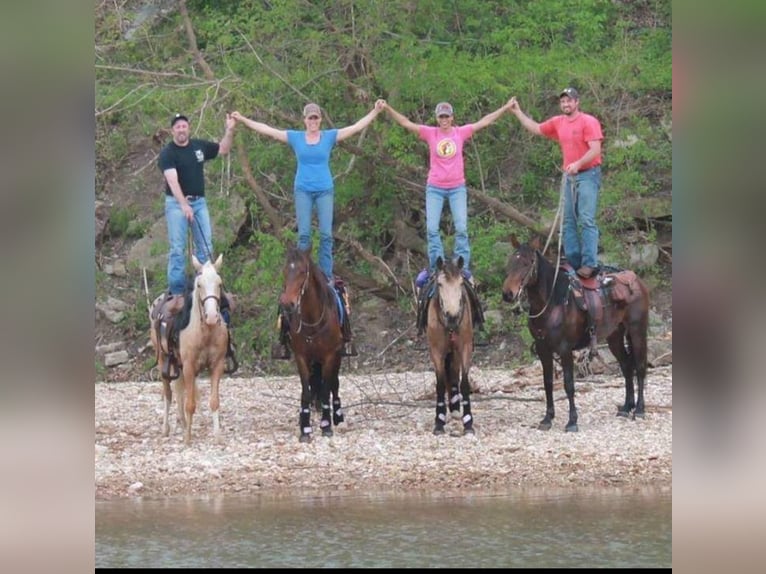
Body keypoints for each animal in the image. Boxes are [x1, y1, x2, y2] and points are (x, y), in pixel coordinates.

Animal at [148, 254, 228, 448]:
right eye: (199, 285)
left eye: (219, 283)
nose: (212, 317)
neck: (205, 332)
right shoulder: (189, 366)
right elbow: (190, 404)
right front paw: (187, 438)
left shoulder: (217, 365)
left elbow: (214, 401)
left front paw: (217, 436)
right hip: (163, 360)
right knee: (169, 395)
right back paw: (166, 428)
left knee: (178, 392)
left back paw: (183, 423)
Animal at [278, 249, 346, 446]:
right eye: (285, 271)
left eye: (302, 272)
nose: (287, 303)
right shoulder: (301, 357)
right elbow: (306, 391)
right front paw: (305, 429)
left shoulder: (331, 355)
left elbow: (326, 389)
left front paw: (326, 425)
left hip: (337, 355)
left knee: (334, 384)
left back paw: (337, 415)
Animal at [426, 256, 474, 436]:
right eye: (440, 284)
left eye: (460, 283)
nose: (452, 317)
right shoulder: (436, 351)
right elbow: (439, 384)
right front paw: (438, 422)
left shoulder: (466, 347)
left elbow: (464, 382)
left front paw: (468, 422)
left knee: (453, 374)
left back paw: (455, 409)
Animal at [500, 236, 652, 434]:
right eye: (511, 262)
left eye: (528, 263)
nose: (507, 294)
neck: (553, 302)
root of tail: (637, 281)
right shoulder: (543, 349)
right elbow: (548, 383)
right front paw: (547, 418)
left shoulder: (565, 349)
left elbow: (569, 384)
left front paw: (572, 421)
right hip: (614, 336)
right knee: (626, 366)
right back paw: (626, 407)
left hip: (637, 330)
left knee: (640, 367)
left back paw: (639, 409)